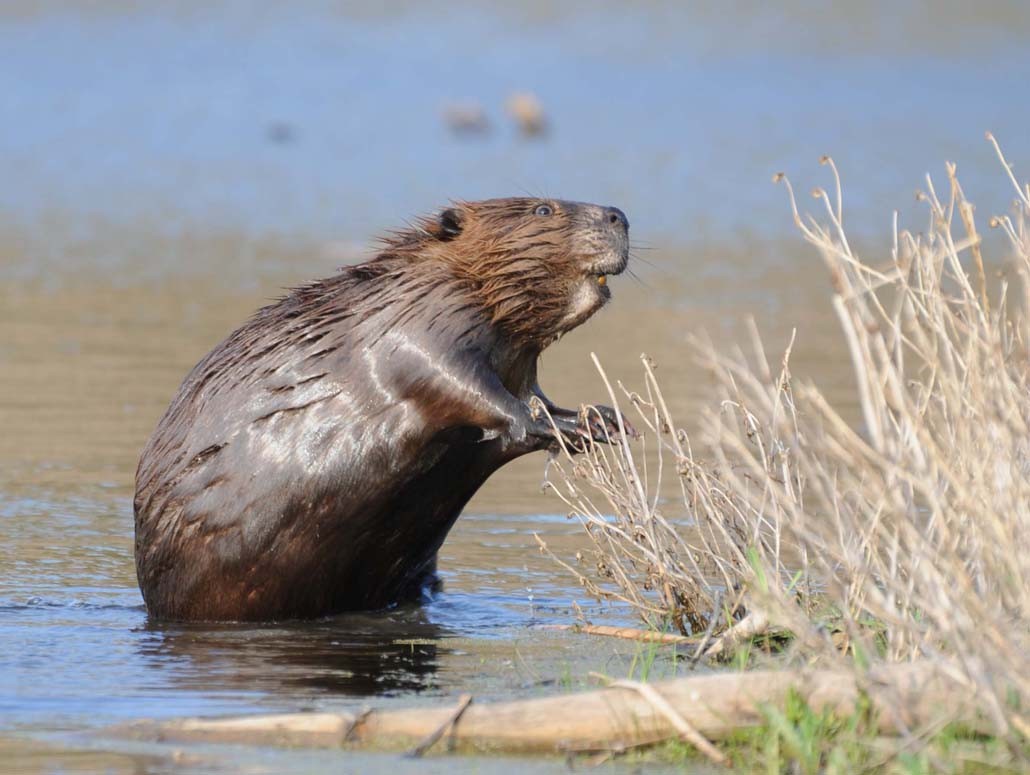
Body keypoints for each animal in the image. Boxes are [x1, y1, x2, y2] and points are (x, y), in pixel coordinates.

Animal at [134, 196, 634, 622]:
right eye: (543, 209)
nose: (619, 216)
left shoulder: (513, 361)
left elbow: (536, 396)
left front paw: (602, 420)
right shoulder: (422, 321)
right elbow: (458, 383)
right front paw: (551, 425)